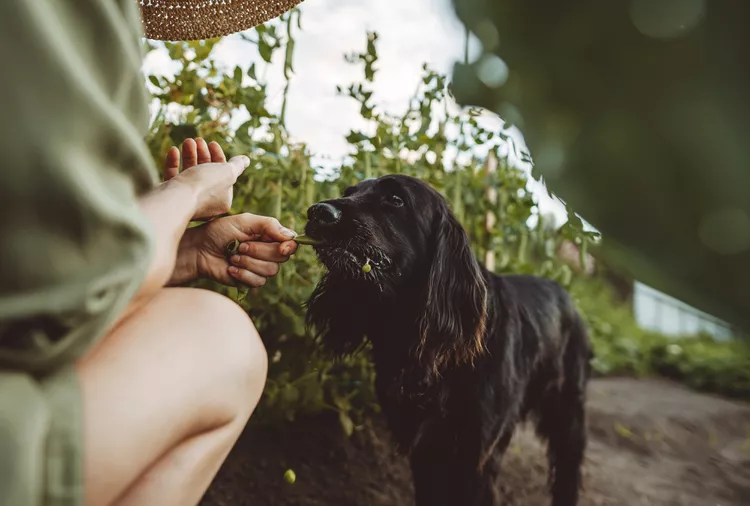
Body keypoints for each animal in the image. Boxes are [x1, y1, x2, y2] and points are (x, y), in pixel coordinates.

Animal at [304, 175, 592, 506]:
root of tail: (569, 297)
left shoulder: (476, 458)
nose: (317, 212)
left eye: (396, 199)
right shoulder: (424, 451)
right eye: (349, 192)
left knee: (567, 474)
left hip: (568, 417)